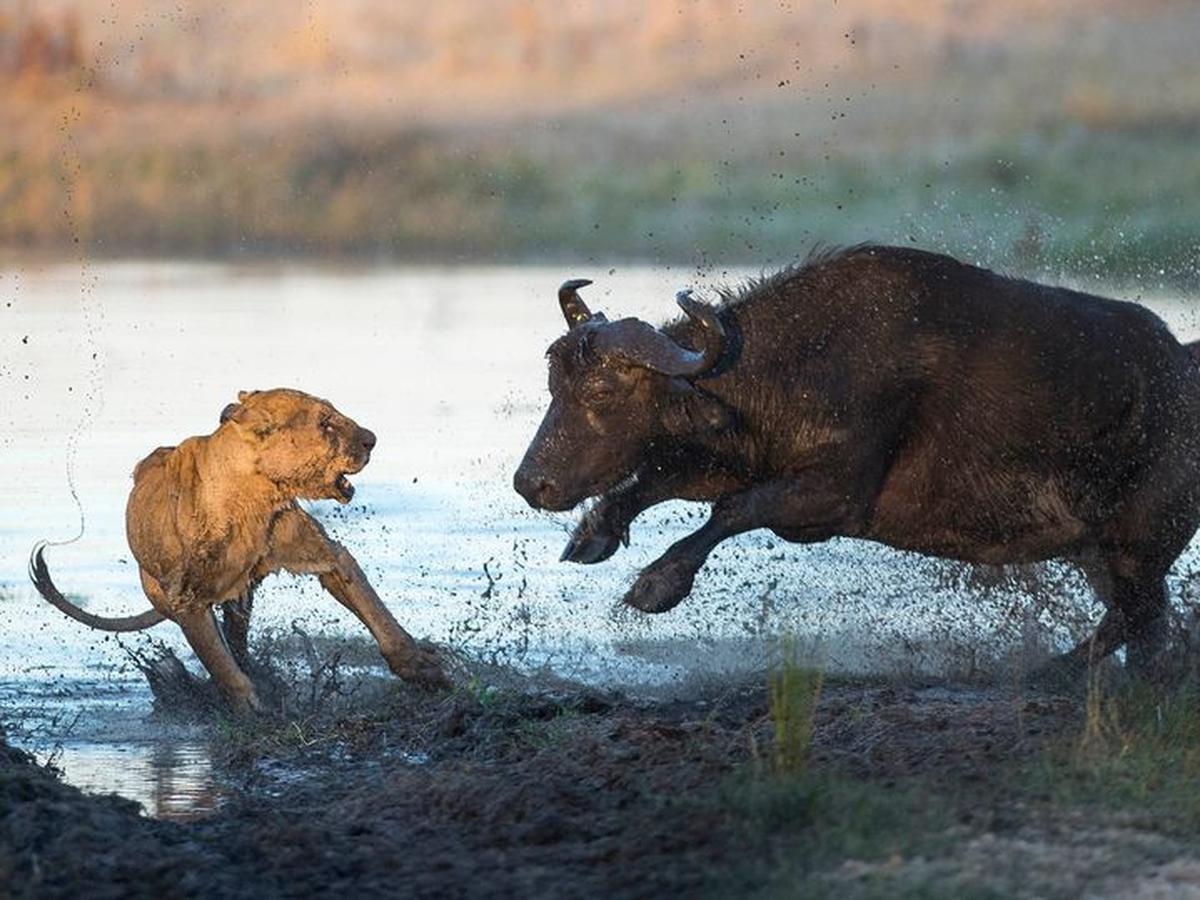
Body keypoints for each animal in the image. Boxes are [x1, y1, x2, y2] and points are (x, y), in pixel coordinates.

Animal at [514, 245, 1200, 674]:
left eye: (602, 393)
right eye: (555, 384)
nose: (531, 483)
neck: (807, 363)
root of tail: (1184, 369)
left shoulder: (833, 499)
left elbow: (733, 509)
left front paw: (657, 584)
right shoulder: (742, 457)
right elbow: (659, 479)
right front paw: (594, 533)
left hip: (1139, 547)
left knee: (1140, 623)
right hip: (1098, 552)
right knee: (1141, 623)